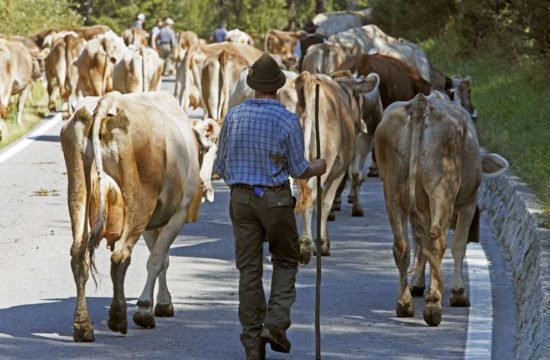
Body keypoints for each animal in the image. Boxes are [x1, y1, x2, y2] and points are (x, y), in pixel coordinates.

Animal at [61, 90, 221, 344]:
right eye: (214, 151)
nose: (208, 189)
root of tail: (109, 101)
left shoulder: (152, 223)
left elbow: (163, 259)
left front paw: (163, 303)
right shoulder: (176, 215)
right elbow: (157, 260)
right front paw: (146, 309)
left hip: (78, 190)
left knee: (79, 255)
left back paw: (83, 326)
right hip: (138, 203)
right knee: (120, 256)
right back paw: (118, 318)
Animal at [294, 72, 358, 264]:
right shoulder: (338, 173)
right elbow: (326, 203)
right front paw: (322, 243)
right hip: (326, 160)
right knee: (310, 197)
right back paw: (306, 245)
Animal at [378, 92, 512, 326]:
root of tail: (421, 102)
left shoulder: (419, 211)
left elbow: (419, 244)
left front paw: (417, 283)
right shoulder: (468, 203)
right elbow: (459, 245)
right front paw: (458, 292)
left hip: (392, 190)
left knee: (403, 245)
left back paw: (404, 303)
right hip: (441, 190)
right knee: (436, 241)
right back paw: (433, 305)